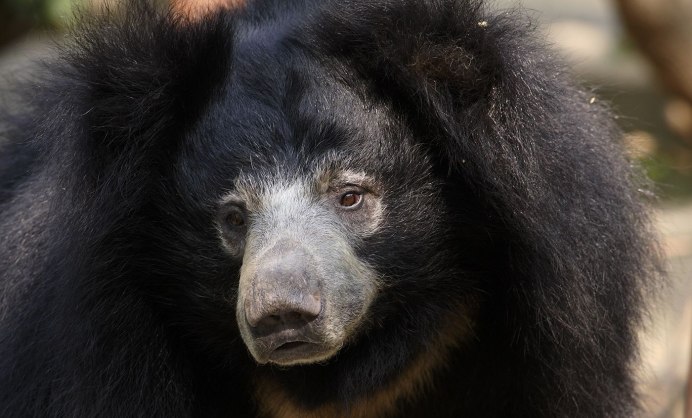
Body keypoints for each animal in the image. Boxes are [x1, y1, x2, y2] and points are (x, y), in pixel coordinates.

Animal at [0, 0, 660, 418]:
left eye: (350, 195)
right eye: (233, 218)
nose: (282, 315)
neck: (335, 377)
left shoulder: (554, 327)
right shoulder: (90, 334)